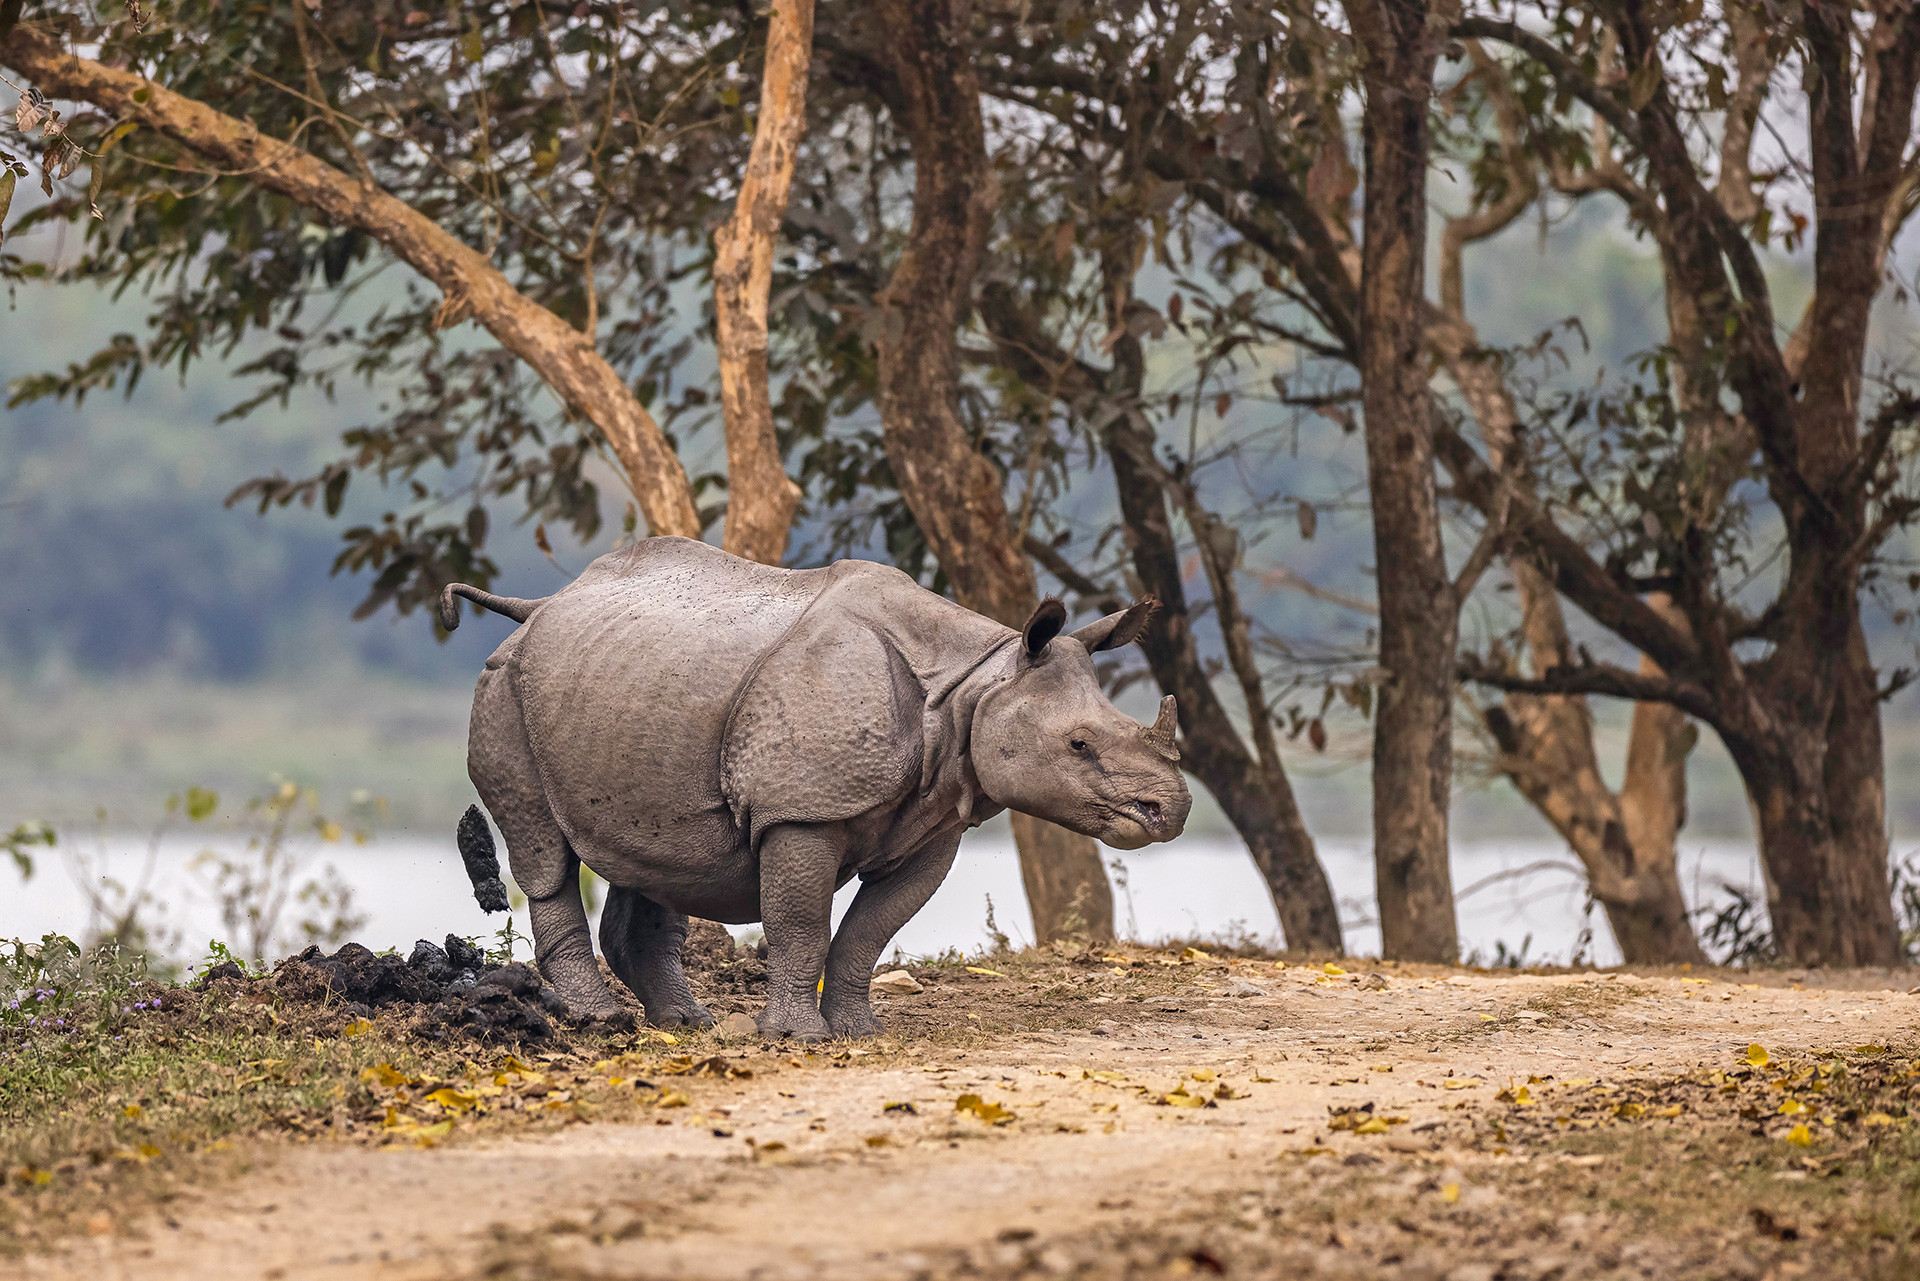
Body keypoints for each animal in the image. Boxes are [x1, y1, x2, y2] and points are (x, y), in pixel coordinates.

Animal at [439, 536, 1191, 1041]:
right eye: (1079, 745)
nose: (1171, 809)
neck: (974, 683)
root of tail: (541, 606)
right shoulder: (802, 811)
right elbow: (801, 920)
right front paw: (797, 1037)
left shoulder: (936, 823)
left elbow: (872, 928)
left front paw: (860, 1031)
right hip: (505, 685)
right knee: (545, 853)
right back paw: (602, 1022)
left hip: (620, 685)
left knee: (652, 853)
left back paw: (686, 1023)